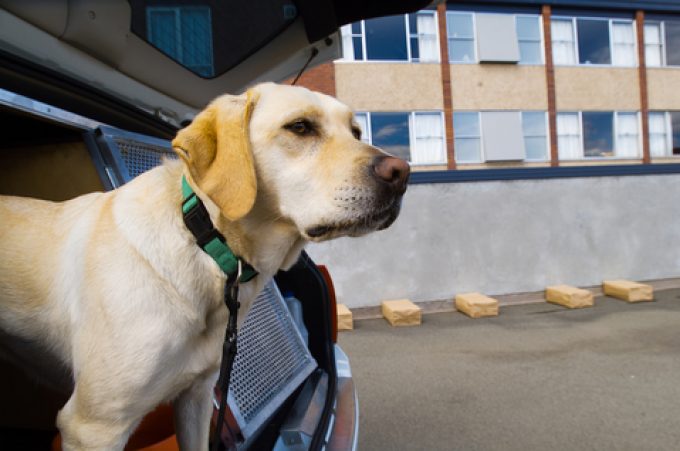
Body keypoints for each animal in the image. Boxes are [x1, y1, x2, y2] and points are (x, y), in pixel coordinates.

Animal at [0, 83, 410, 450]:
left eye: (355, 131)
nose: (402, 172)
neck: (206, 245)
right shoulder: (94, 425)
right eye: (300, 127)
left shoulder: (195, 398)